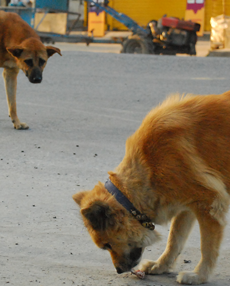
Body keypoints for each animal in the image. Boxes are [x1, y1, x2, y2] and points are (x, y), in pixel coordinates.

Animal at [73, 91, 230, 284]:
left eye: (107, 245)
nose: (118, 270)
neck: (148, 166)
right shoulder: (187, 205)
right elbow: (174, 240)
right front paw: (160, 266)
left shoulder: (210, 204)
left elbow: (207, 247)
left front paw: (199, 275)